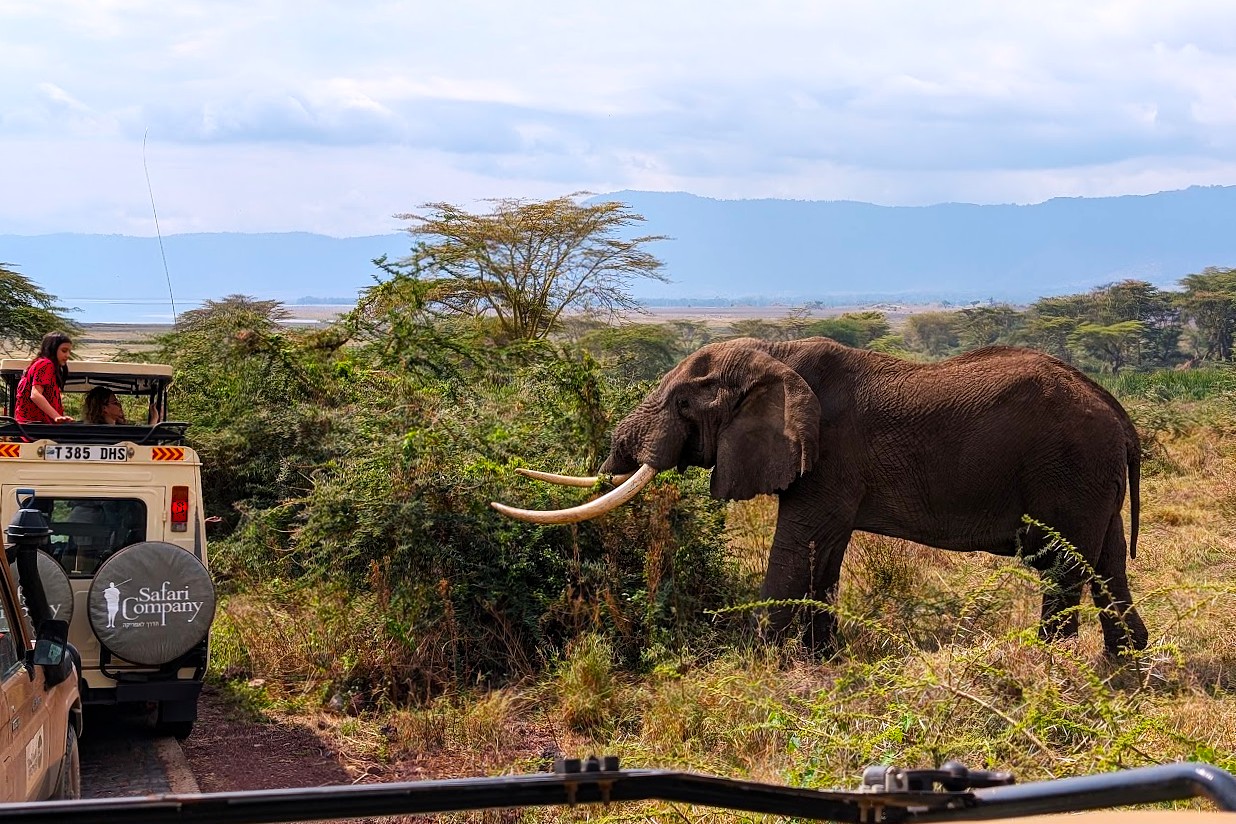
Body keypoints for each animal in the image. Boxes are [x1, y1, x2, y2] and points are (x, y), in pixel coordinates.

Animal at [491, 336, 1147, 657]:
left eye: (682, 402)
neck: (774, 357)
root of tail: (1117, 410)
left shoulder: (828, 454)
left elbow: (797, 545)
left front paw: (762, 666)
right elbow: (823, 555)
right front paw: (822, 661)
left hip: (1069, 471)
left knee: (1063, 567)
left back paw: (1051, 666)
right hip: (1093, 480)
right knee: (1107, 562)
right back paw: (1127, 670)